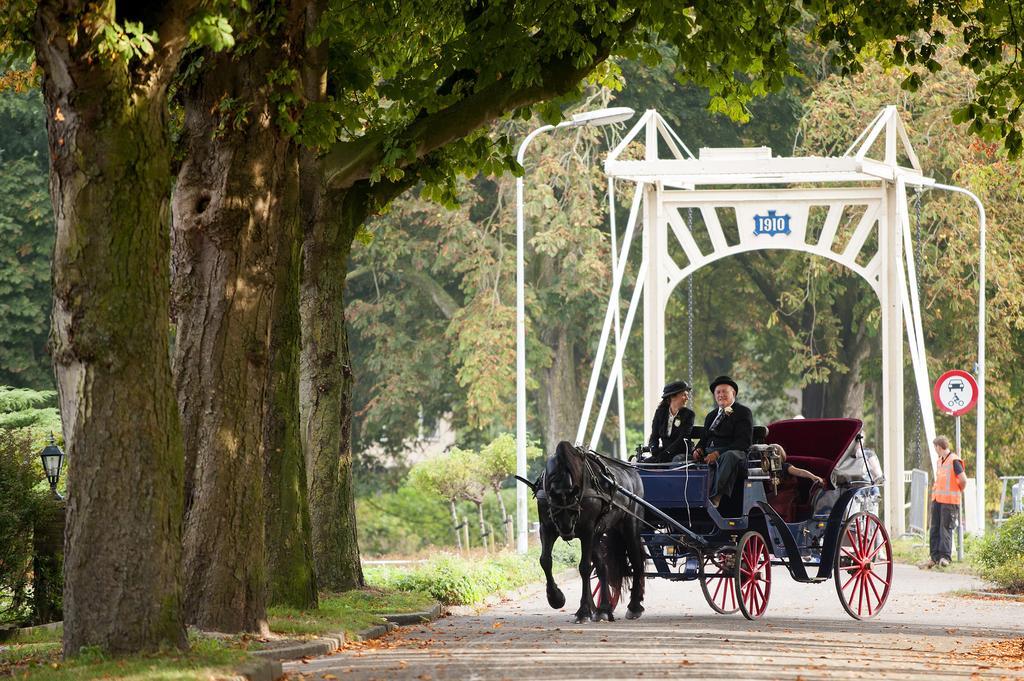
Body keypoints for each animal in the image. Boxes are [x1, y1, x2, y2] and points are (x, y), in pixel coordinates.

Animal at [524, 440, 643, 622]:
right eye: (554, 508)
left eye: (574, 508)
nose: (566, 530)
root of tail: (632, 471)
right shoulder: (546, 527)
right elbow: (545, 561)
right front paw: (556, 598)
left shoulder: (587, 530)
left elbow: (585, 567)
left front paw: (584, 611)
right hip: (599, 534)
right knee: (602, 567)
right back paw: (603, 609)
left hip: (630, 525)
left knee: (636, 561)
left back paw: (634, 606)